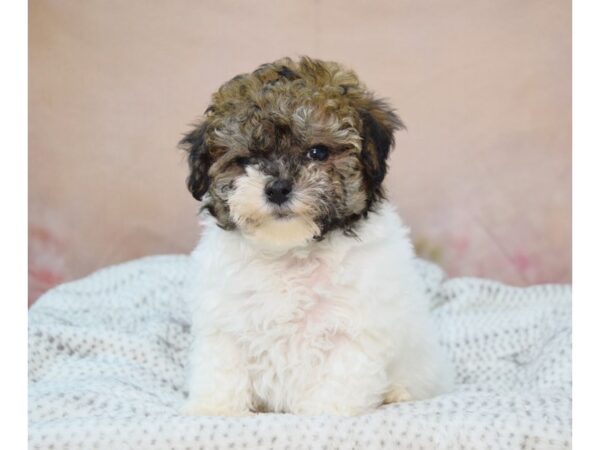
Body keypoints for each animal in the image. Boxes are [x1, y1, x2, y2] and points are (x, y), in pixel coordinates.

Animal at [180, 58, 452, 416]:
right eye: (247, 160)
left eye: (318, 152)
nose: (278, 187)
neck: (291, 252)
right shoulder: (224, 319)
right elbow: (223, 365)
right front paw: (215, 408)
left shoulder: (353, 328)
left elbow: (338, 377)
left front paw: (325, 413)